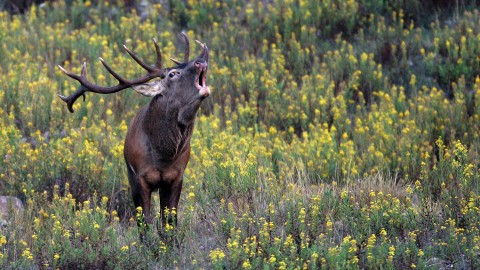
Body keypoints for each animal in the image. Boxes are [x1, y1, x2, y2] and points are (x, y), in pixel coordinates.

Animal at [57, 33, 210, 235]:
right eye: (172, 74)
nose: (201, 61)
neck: (163, 155)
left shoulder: (176, 177)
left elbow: (170, 223)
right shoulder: (138, 178)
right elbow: (144, 223)